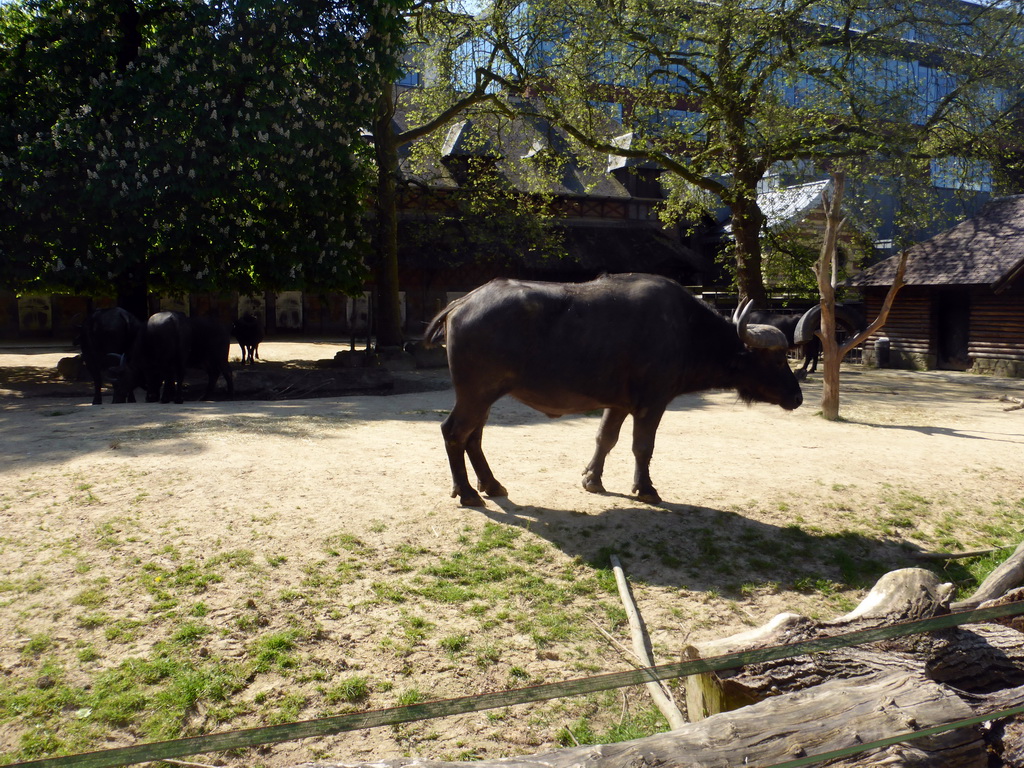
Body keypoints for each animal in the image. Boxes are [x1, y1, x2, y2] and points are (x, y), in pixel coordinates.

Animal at [419, 274, 802, 507]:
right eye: (776, 358)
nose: (797, 397)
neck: (685, 330)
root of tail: (463, 302)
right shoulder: (653, 402)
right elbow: (642, 447)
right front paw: (646, 488)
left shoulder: (617, 403)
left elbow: (606, 438)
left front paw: (593, 479)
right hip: (475, 393)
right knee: (453, 432)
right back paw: (467, 492)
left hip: (483, 395)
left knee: (474, 436)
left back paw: (491, 484)